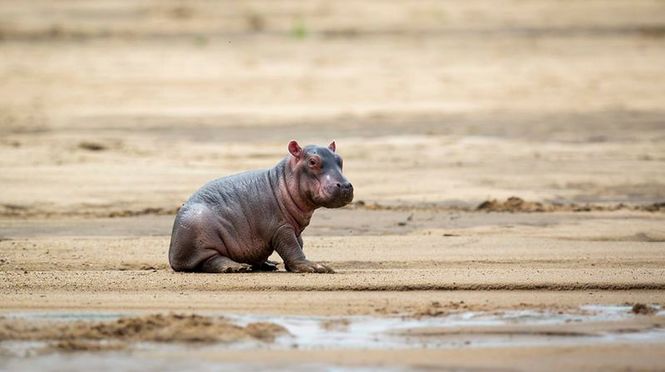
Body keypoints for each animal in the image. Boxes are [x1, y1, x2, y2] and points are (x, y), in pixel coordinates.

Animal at [169, 140, 352, 274]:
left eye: (340, 160)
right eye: (313, 161)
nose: (345, 185)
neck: (282, 180)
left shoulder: (295, 228)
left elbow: (298, 244)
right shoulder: (281, 228)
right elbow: (292, 247)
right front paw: (316, 267)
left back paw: (268, 265)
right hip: (199, 234)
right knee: (210, 260)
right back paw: (237, 267)